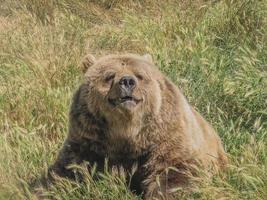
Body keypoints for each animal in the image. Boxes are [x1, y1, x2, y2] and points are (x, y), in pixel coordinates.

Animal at [48, 53, 228, 200]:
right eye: (110, 75)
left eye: (140, 75)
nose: (127, 81)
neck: (127, 131)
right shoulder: (89, 141)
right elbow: (67, 171)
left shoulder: (165, 138)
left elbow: (177, 172)